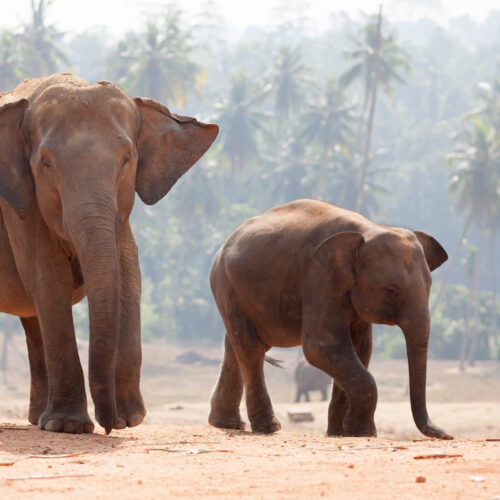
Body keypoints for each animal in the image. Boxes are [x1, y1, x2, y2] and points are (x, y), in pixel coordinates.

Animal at [0, 73, 219, 434]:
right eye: (46, 163)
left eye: (126, 159)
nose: (107, 424)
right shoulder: (20, 207)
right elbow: (47, 278)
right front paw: (68, 426)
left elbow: (129, 271)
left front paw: (128, 419)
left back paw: (37, 418)